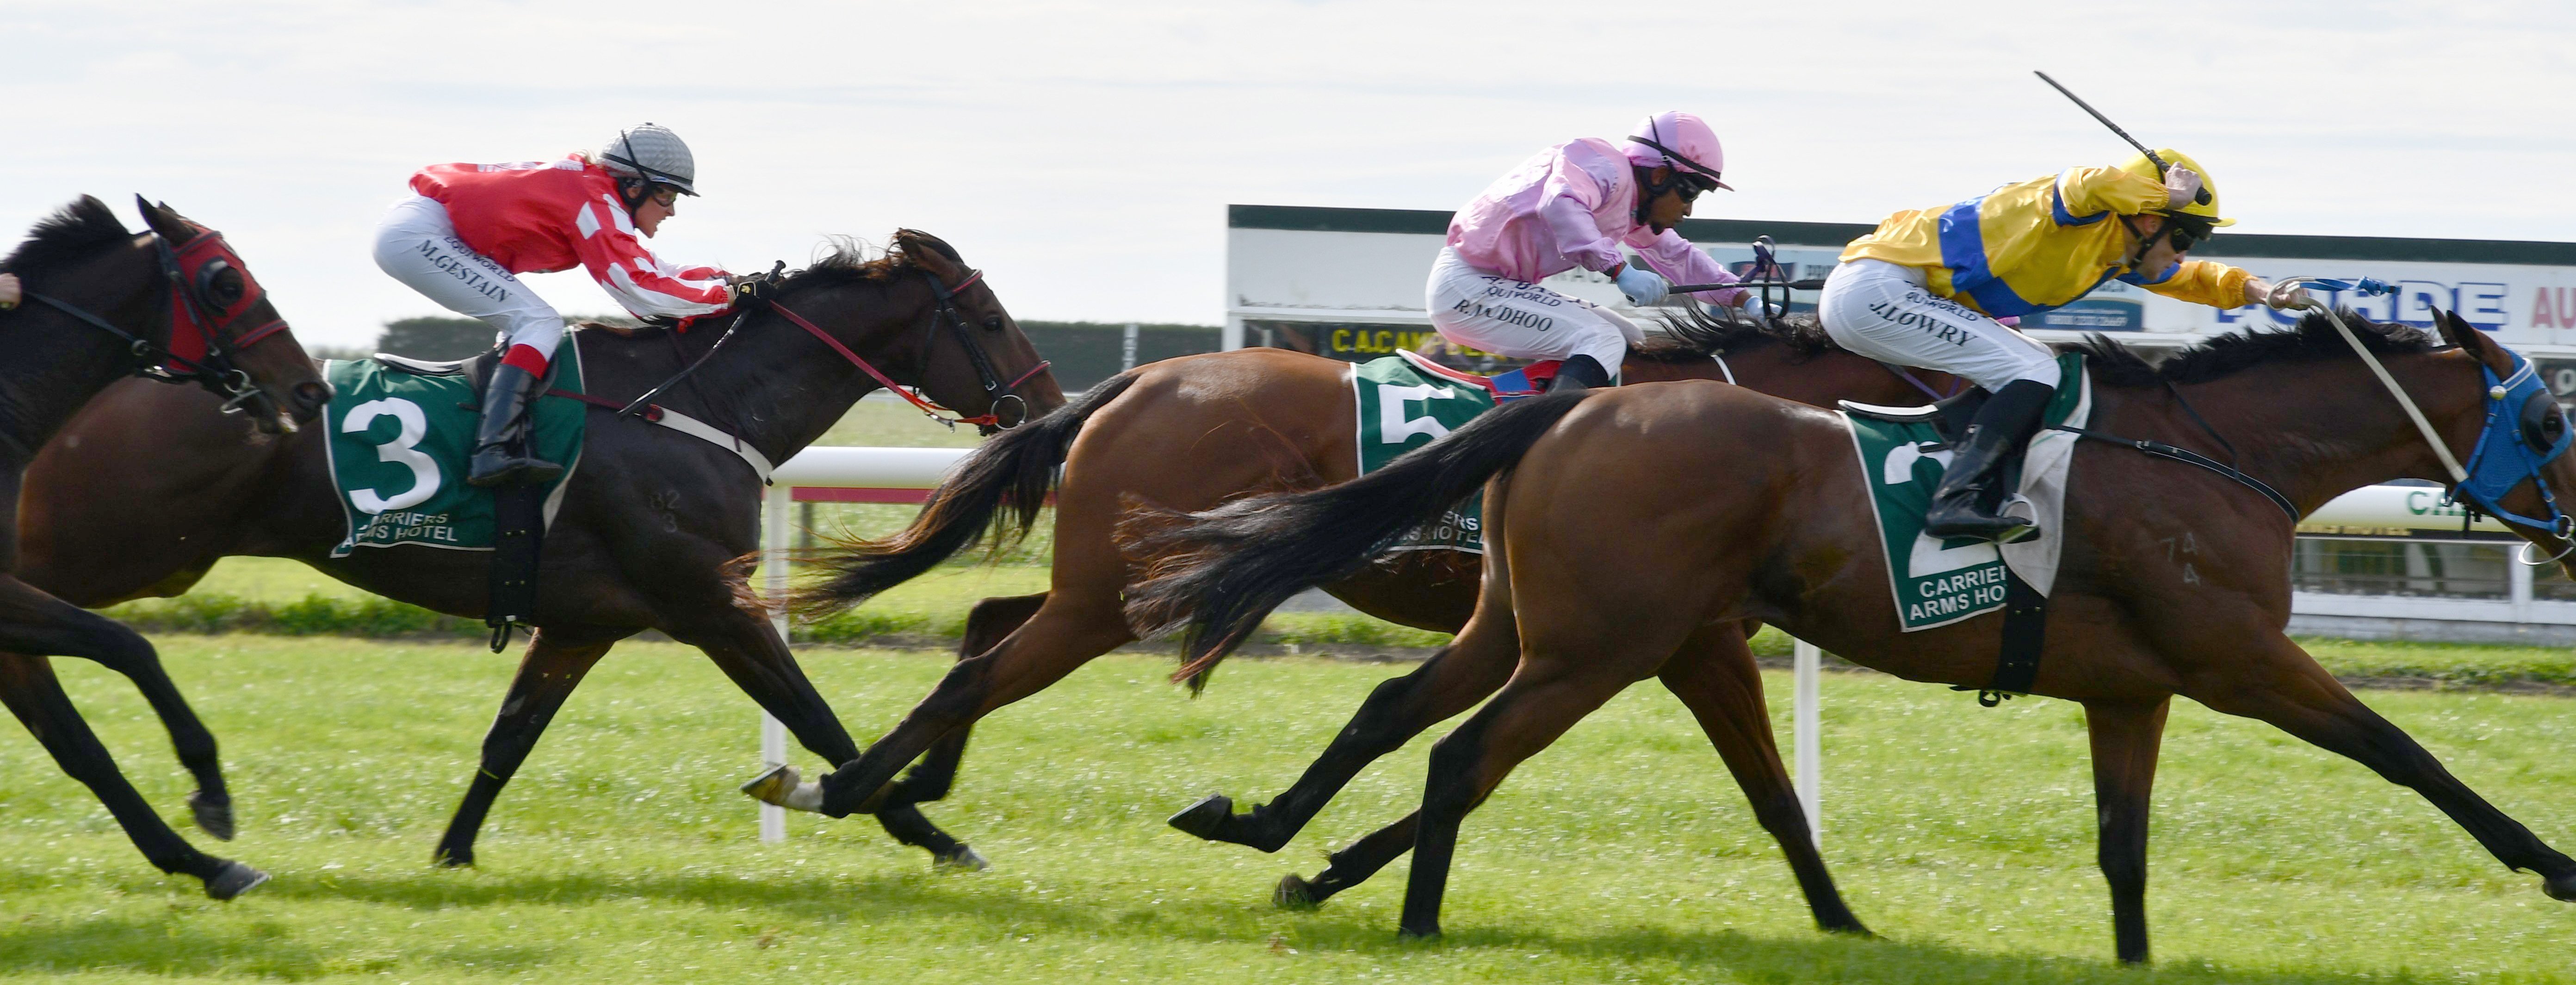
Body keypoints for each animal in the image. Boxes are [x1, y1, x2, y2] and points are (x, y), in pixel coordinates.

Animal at [0, 194, 332, 902]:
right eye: (226, 282)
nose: (312, 390)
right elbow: (129, 646)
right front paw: (210, 790)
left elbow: (78, 744)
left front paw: (203, 861)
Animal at [10, 233, 1056, 876]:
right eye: (990, 318)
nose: (1047, 408)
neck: (700, 404)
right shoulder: (706, 598)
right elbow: (818, 716)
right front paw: (931, 833)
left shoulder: (584, 618)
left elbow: (509, 737)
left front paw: (452, 853)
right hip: (97, 549)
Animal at [747, 312, 1947, 928]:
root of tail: (1135, 379)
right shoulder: (1668, 633)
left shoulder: (1626, 632)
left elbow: (1422, 739)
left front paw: (1311, 863)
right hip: (1111, 590)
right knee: (982, 669)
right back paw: (853, 789)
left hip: (1109, 582)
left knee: (990, 624)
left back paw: (910, 788)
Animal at [1128, 313, 2576, 964]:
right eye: (2549, 421)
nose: (2569, 530)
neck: (2221, 456)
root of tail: (1573, 408)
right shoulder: (2239, 662)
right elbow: (2407, 756)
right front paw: (2556, 867)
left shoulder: (2135, 693)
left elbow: (2122, 849)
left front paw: (2132, 963)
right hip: (1600, 645)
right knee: (1461, 758)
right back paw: (1416, 917)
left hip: (1537, 629)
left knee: (1403, 720)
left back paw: (1275, 840)